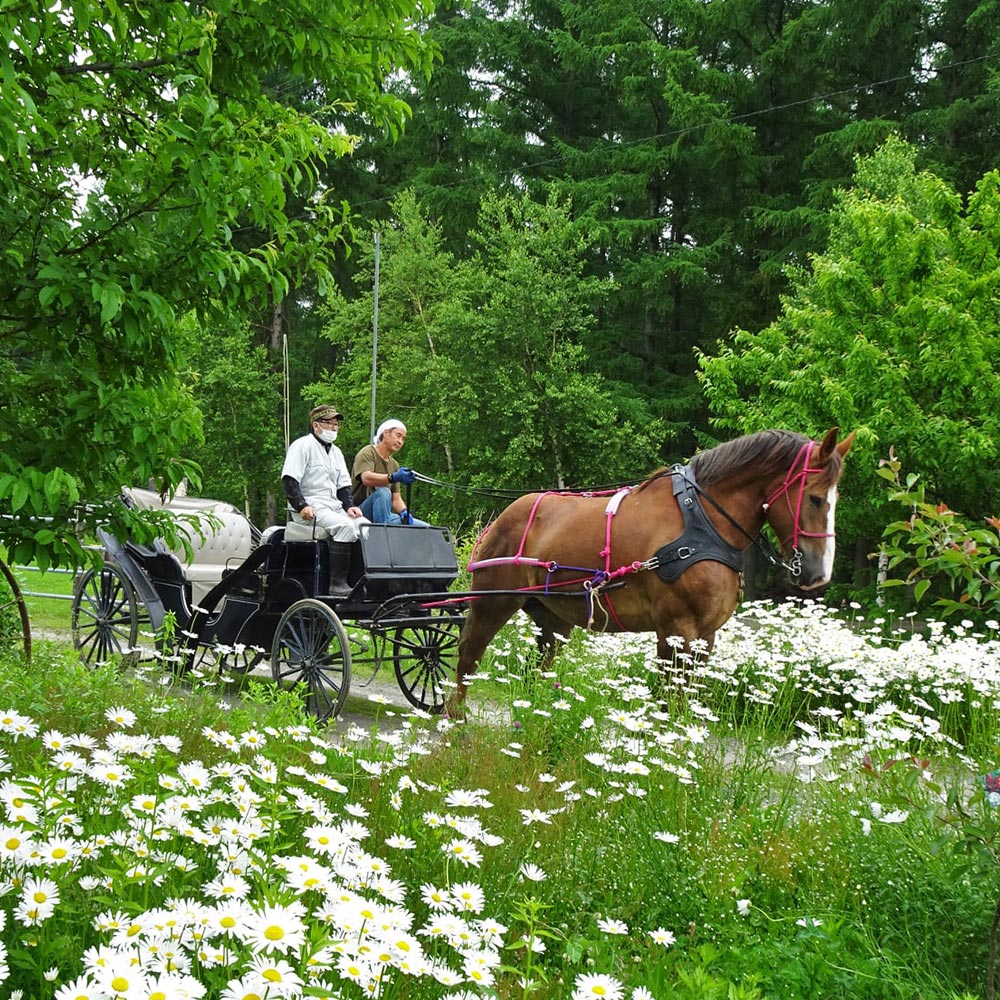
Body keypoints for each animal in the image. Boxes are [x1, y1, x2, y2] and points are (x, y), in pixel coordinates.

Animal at [450, 426, 856, 716]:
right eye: (815, 498)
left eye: (836, 498)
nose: (819, 574)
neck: (702, 524)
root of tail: (503, 517)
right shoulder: (676, 629)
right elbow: (668, 700)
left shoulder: (706, 636)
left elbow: (683, 701)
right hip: (493, 601)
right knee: (469, 654)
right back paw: (455, 718)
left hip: (552, 618)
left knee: (538, 667)